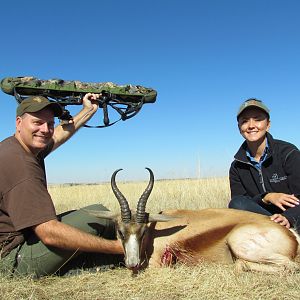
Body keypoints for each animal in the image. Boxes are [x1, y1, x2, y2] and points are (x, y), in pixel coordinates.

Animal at [84, 168, 300, 274]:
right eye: (120, 232)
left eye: (142, 232)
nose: (132, 263)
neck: (156, 231)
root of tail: (291, 235)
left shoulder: (155, 263)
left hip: (240, 244)